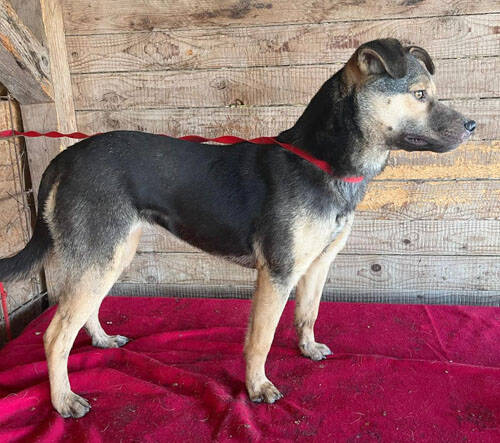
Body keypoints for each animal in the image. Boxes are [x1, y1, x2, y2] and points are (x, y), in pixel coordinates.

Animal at [0, 39, 475, 418]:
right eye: (420, 95)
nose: (473, 125)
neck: (322, 163)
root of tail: (63, 158)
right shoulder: (278, 273)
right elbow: (261, 338)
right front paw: (258, 388)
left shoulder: (317, 264)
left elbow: (307, 315)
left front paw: (307, 350)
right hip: (102, 251)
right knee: (56, 334)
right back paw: (63, 400)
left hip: (112, 251)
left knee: (84, 310)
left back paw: (100, 341)